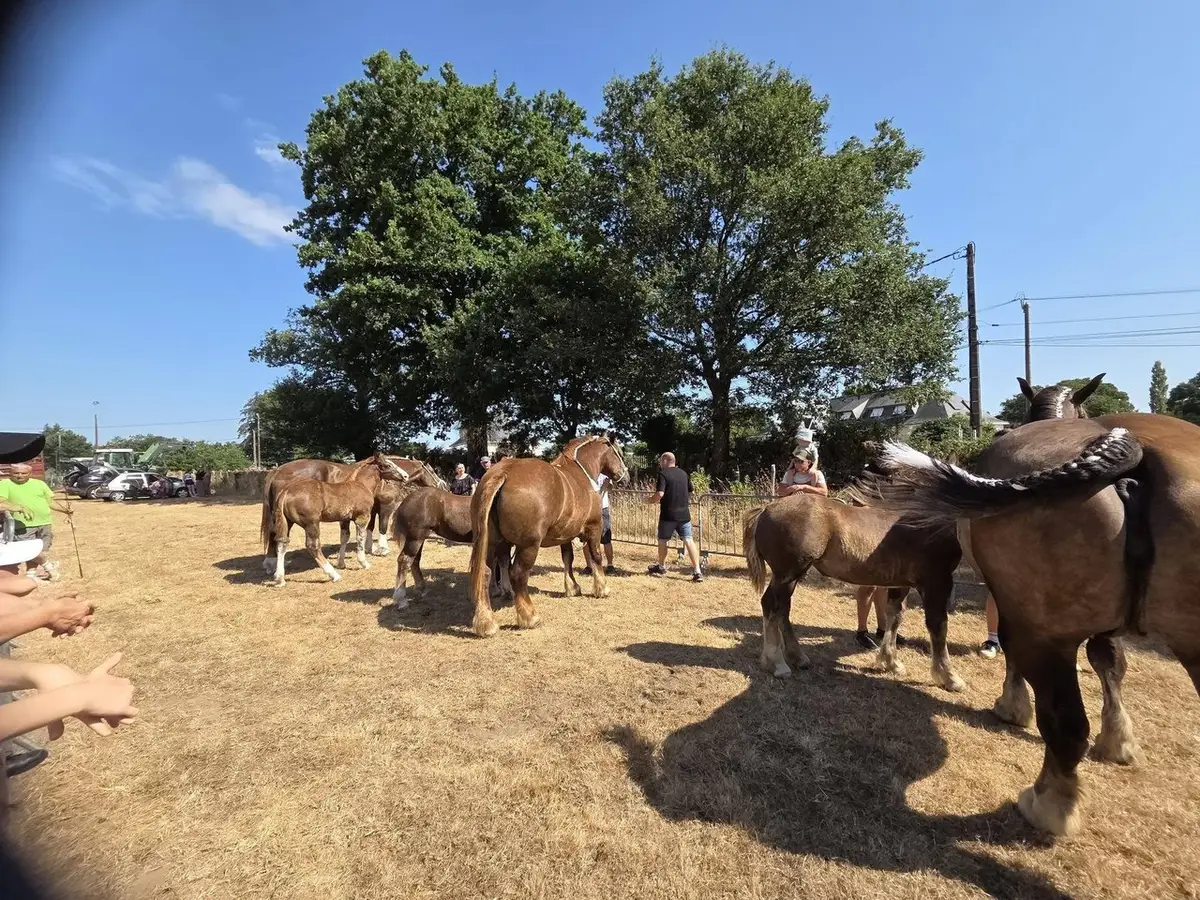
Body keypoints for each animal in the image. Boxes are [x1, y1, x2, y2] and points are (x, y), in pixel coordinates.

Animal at [267, 453, 409, 587]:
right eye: (388, 465)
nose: (406, 476)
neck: (361, 485)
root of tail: (286, 492)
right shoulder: (362, 517)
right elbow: (360, 539)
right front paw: (364, 563)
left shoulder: (344, 519)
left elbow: (344, 537)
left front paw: (341, 563)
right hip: (311, 524)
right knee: (313, 546)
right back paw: (334, 575)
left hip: (287, 522)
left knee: (282, 543)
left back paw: (279, 578)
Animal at [467, 435, 628, 637]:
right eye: (619, 452)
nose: (626, 477)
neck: (580, 473)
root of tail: (503, 473)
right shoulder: (594, 528)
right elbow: (596, 557)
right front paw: (602, 588)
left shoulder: (566, 535)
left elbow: (567, 558)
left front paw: (572, 587)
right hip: (529, 545)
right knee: (518, 574)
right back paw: (529, 617)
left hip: (491, 542)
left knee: (487, 571)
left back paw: (486, 622)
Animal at [742, 495, 966, 691]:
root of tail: (766, 509)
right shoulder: (936, 582)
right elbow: (938, 625)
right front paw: (949, 677)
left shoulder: (901, 584)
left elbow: (895, 617)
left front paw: (891, 662)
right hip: (787, 574)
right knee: (772, 606)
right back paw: (778, 664)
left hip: (791, 577)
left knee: (782, 610)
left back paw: (798, 658)